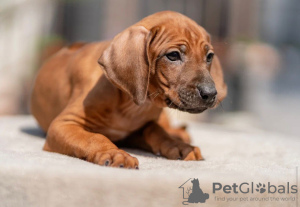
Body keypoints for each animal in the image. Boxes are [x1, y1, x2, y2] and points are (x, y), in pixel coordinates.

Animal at [31, 10, 227, 168]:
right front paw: (114, 153)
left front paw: (179, 146)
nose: (211, 94)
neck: (132, 105)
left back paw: (179, 135)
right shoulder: (64, 124)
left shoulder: (138, 130)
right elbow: (94, 137)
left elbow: (156, 130)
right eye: (173, 55)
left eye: (209, 56)